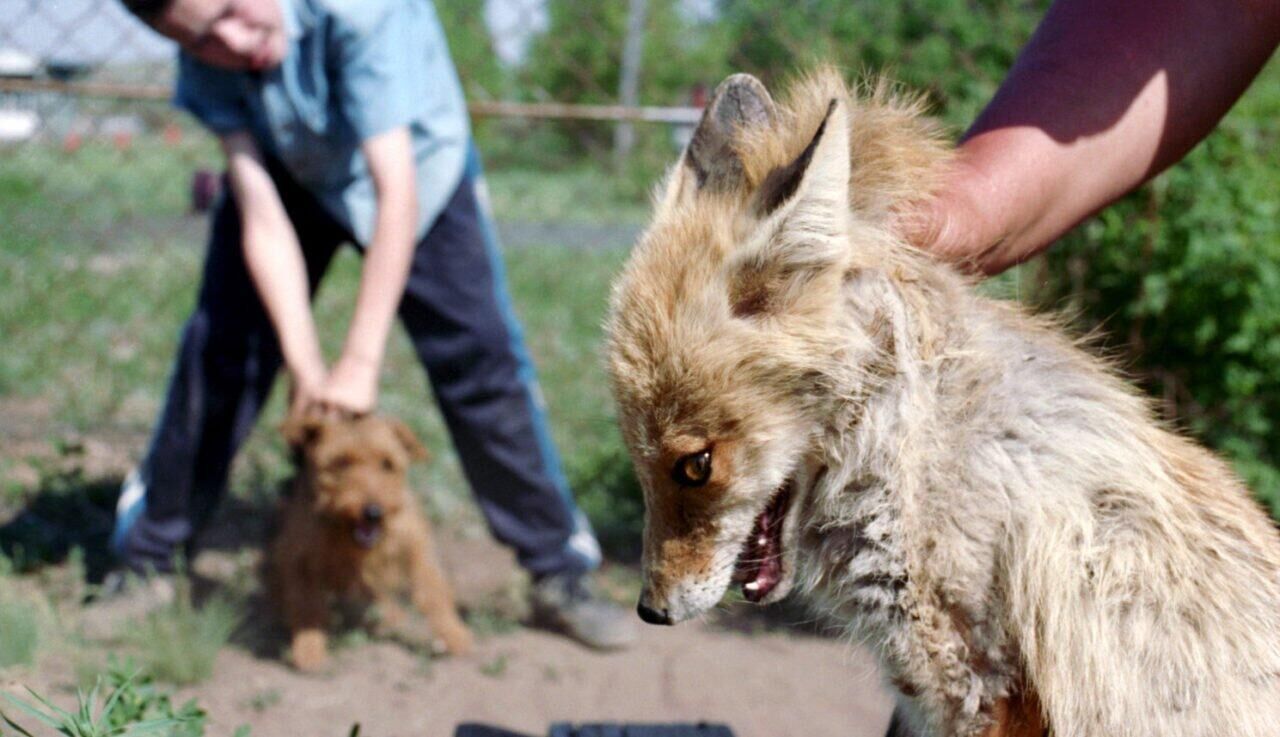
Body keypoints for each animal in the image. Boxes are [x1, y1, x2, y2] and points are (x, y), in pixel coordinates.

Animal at [270, 412, 476, 670]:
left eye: (387, 463)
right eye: (341, 462)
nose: (373, 512)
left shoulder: (414, 544)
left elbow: (433, 591)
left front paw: (455, 636)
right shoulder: (299, 557)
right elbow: (307, 606)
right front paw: (309, 650)